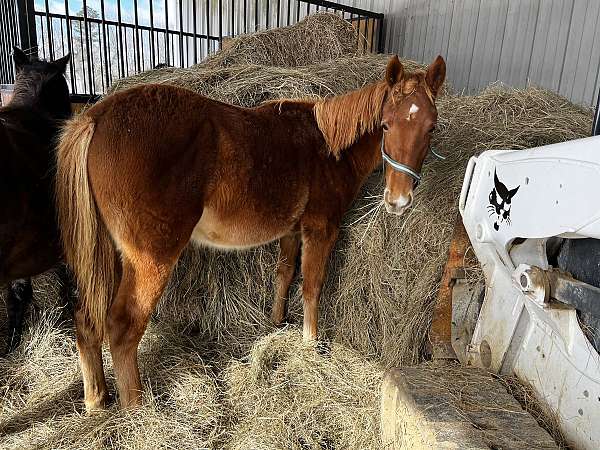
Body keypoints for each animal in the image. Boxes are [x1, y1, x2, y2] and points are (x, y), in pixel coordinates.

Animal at [56, 54, 446, 410]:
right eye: (385, 125)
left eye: (431, 127)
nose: (399, 201)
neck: (326, 148)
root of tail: (96, 117)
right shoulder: (320, 230)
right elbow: (312, 286)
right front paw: (310, 344)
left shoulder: (292, 231)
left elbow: (284, 274)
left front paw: (276, 323)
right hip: (151, 258)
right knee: (123, 327)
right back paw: (136, 408)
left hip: (107, 255)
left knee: (87, 321)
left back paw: (96, 399)